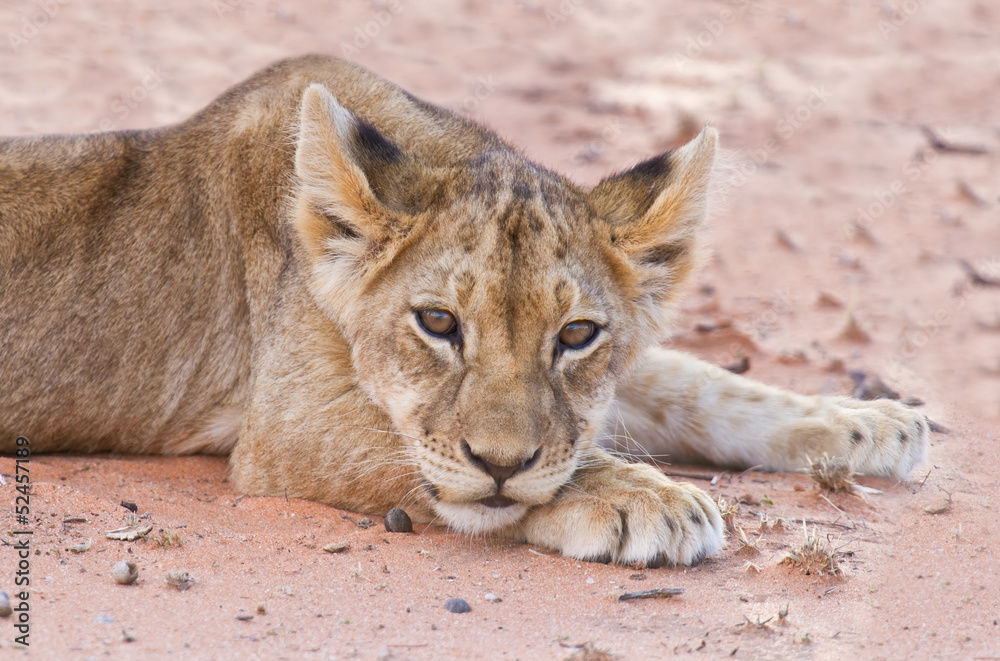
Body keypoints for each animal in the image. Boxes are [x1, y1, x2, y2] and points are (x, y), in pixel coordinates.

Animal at [0, 55, 927, 567]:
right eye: (438, 323)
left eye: (577, 334)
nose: (502, 463)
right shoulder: (286, 425)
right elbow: (427, 455)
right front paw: (641, 498)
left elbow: (694, 384)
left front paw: (871, 422)